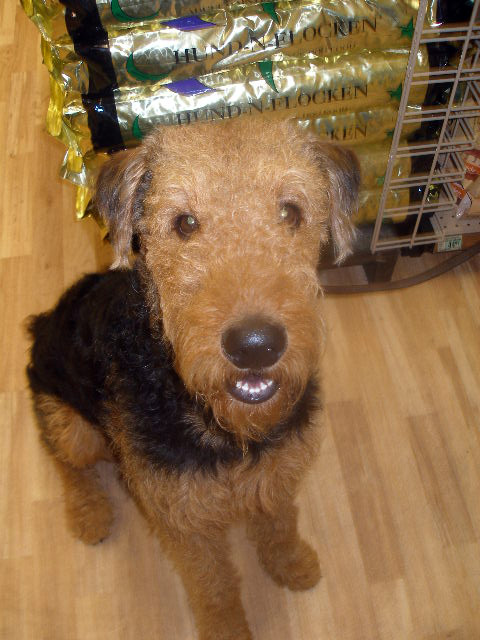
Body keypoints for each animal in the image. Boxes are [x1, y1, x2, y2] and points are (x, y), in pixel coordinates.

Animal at [25, 117, 356, 636]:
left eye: (291, 212)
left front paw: (293, 565)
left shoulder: (277, 474)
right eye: (184, 223)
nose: (255, 345)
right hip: (71, 421)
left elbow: (280, 527)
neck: (230, 433)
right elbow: (214, 587)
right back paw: (90, 515)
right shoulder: (185, 522)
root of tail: (41, 322)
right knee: (66, 462)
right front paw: (228, 629)